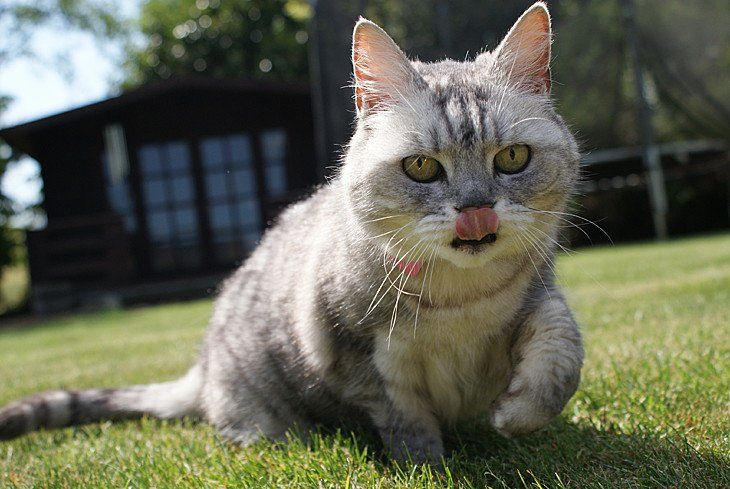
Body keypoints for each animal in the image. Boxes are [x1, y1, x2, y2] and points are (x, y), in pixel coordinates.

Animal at [0, 1, 580, 464]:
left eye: (512, 158)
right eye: (421, 167)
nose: (476, 212)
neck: (463, 299)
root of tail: (203, 370)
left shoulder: (539, 294)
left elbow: (563, 350)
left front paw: (516, 414)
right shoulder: (360, 355)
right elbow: (407, 424)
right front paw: (432, 467)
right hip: (260, 414)